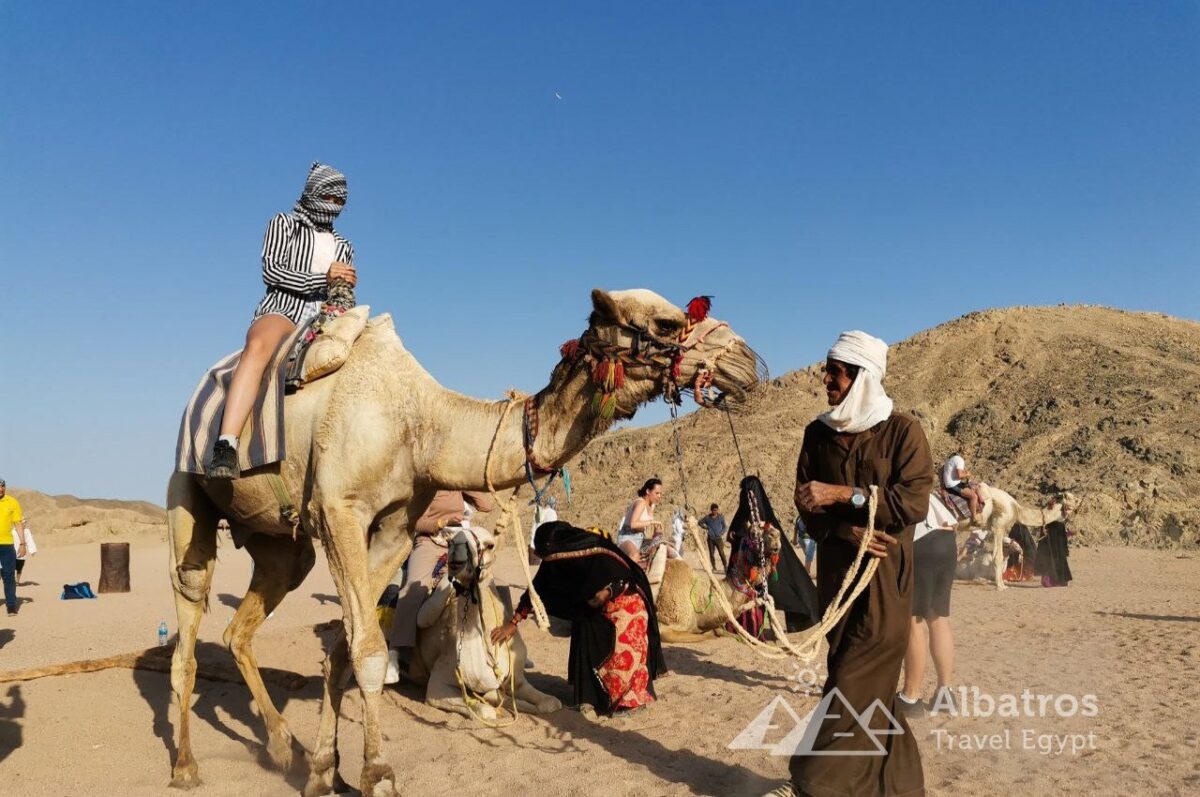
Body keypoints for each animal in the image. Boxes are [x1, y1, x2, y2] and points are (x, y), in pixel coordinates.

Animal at [164, 289, 758, 792]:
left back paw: (282, 746)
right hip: (187, 491)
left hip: (284, 545)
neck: (422, 426)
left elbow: (343, 648)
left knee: (242, 626)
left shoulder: (395, 528)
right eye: (667, 323)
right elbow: (367, 648)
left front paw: (323, 772)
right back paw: (187, 765)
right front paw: (378, 775)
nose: (746, 360)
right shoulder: (338, 512)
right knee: (189, 614)